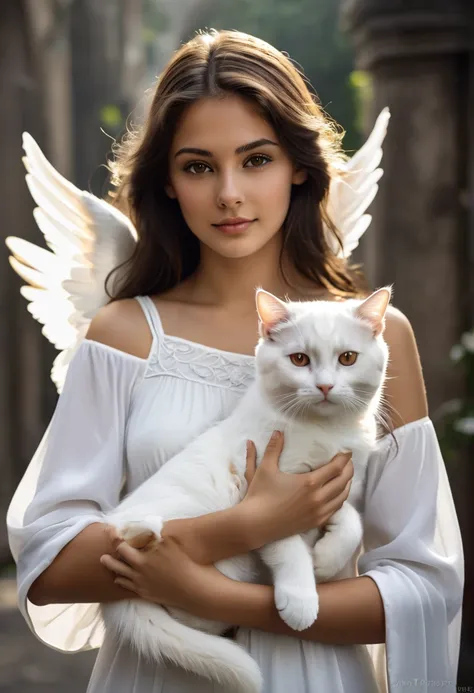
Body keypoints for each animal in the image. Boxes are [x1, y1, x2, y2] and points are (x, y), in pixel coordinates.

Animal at [102, 284, 390, 688]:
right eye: (299, 359)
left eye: (347, 358)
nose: (325, 385)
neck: (323, 431)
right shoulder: (267, 491)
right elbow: (286, 545)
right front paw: (301, 597)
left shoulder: (341, 483)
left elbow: (351, 521)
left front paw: (325, 558)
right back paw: (143, 531)